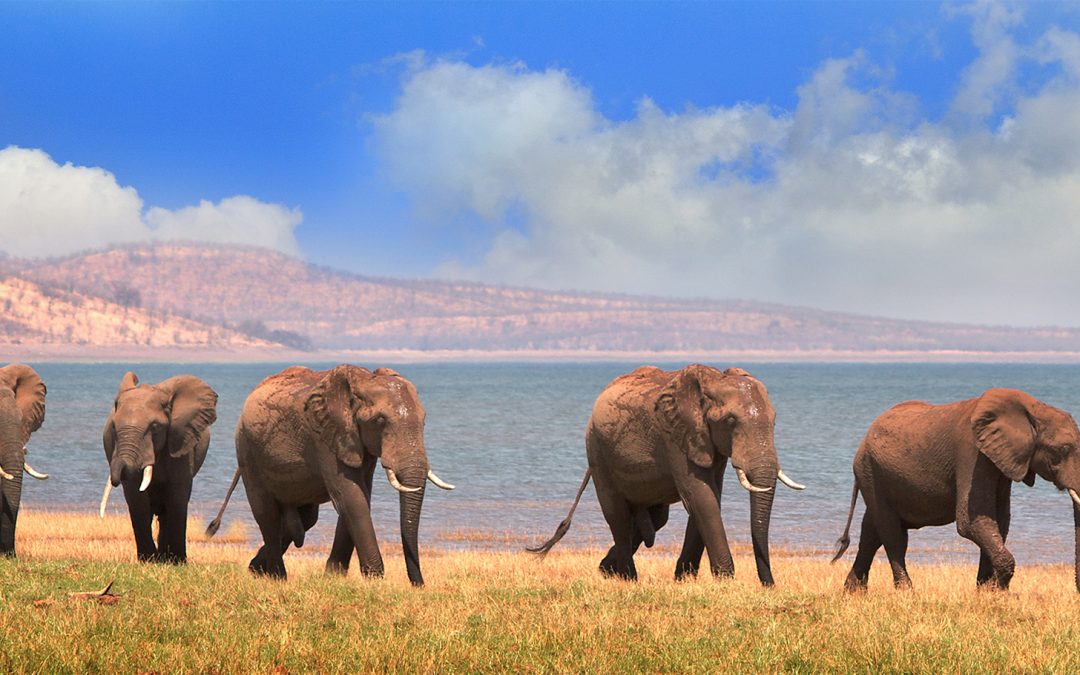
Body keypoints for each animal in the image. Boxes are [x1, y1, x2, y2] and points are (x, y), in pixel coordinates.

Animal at [99, 371, 218, 563]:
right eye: (113, 427)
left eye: (155, 427)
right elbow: (137, 498)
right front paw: (148, 560)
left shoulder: (180, 441)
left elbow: (177, 497)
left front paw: (178, 562)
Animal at [205, 365, 454, 586]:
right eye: (380, 421)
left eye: (424, 420)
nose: (419, 585)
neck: (361, 381)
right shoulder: (324, 437)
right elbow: (351, 496)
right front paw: (374, 580)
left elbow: (361, 495)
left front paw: (333, 577)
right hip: (248, 452)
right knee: (267, 514)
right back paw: (277, 577)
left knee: (305, 519)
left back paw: (255, 569)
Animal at [529, 364, 804, 584]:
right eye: (729, 421)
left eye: (775, 421)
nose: (769, 585)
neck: (711, 381)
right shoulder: (674, 436)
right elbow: (701, 496)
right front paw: (725, 581)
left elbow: (710, 496)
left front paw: (684, 579)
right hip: (598, 453)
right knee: (618, 515)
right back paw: (628, 578)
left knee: (655, 519)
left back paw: (606, 570)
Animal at [832, 388, 1080, 592]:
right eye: (1063, 449)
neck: (1033, 408)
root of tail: (864, 439)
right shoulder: (972, 454)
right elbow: (971, 521)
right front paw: (1000, 591)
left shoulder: (1000, 461)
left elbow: (999, 520)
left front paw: (987, 593)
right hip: (870, 472)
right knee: (893, 535)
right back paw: (906, 592)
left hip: (876, 475)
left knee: (871, 532)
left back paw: (853, 593)